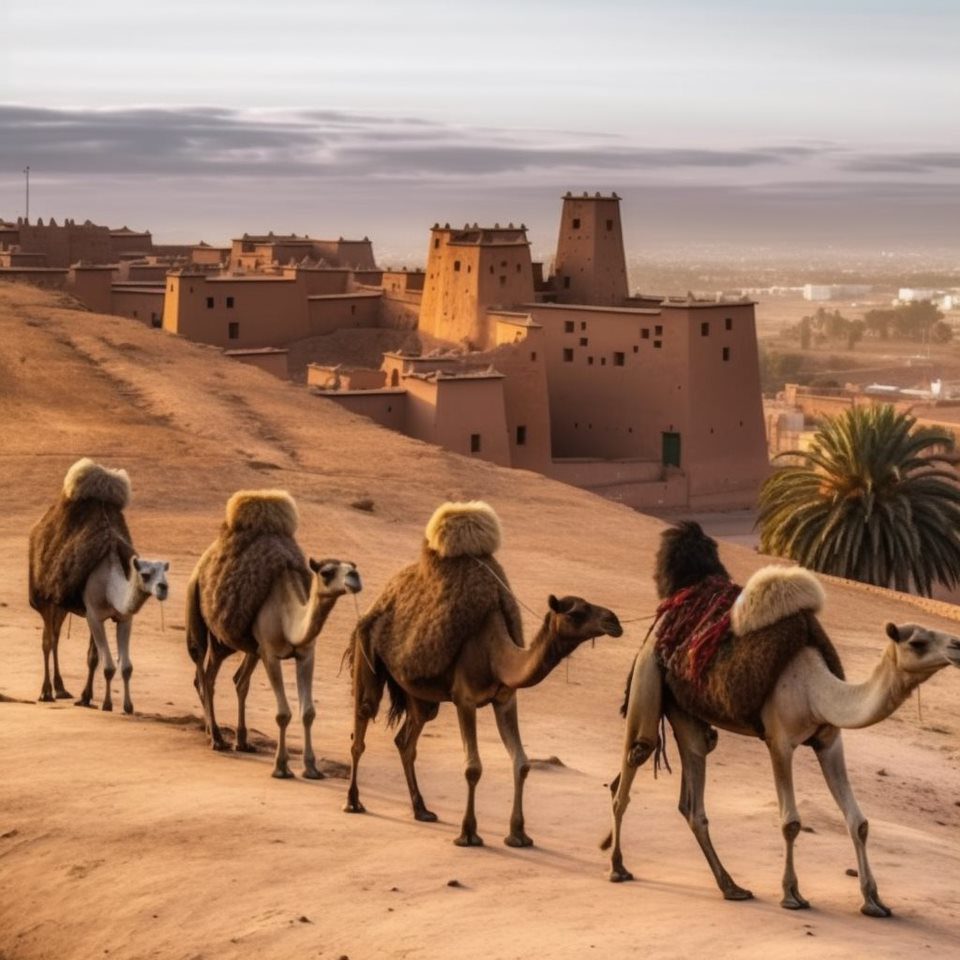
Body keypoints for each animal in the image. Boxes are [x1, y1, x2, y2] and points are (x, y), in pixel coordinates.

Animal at [28, 458, 171, 712]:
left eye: (164, 572)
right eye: (145, 574)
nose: (163, 588)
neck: (111, 582)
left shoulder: (122, 617)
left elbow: (116, 664)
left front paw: (115, 703)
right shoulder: (94, 614)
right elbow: (108, 666)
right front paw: (106, 704)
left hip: (62, 604)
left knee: (55, 637)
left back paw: (61, 689)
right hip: (45, 597)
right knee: (47, 640)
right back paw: (46, 692)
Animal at [188, 492, 364, 776]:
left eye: (351, 566)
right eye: (327, 572)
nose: (355, 578)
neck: (289, 617)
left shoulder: (305, 654)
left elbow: (308, 712)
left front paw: (311, 768)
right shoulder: (271, 654)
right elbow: (283, 713)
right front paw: (281, 768)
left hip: (240, 644)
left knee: (233, 679)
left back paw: (241, 741)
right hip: (198, 616)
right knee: (203, 673)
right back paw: (215, 738)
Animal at [344, 502, 624, 848]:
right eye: (576, 612)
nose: (614, 621)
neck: (497, 654)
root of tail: (380, 600)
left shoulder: (505, 699)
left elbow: (522, 763)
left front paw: (519, 834)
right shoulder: (465, 699)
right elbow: (473, 767)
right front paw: (468, 833)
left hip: (420, 694)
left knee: (406, 739)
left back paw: (422, 809)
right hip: (367, 651)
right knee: (361, 725)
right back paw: (353, 802)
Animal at [604, 520, 960, 920]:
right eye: (917, 642)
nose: (957, 645)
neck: (815, 687)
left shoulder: (829, 740)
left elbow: (859, 821)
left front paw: (873, 901)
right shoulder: (779, 741)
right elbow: (791, 822)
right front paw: (792, 894)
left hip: (687, 713)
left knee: (693, 798)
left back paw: (732, 887)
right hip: (647, 675)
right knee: (633, 763)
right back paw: (618, 867)